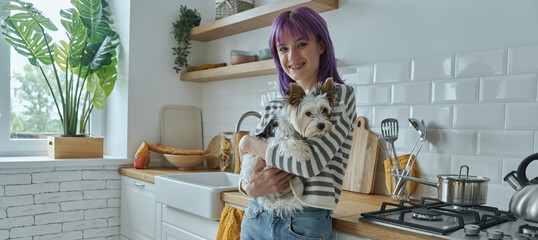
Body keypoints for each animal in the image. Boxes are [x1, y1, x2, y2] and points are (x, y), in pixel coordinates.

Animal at [240, 79, 336, 216]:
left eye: (324, 110)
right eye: (308, 113)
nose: (321, 125)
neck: (293, 127)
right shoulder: (274, 139)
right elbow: (289, 140)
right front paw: (303, 151)